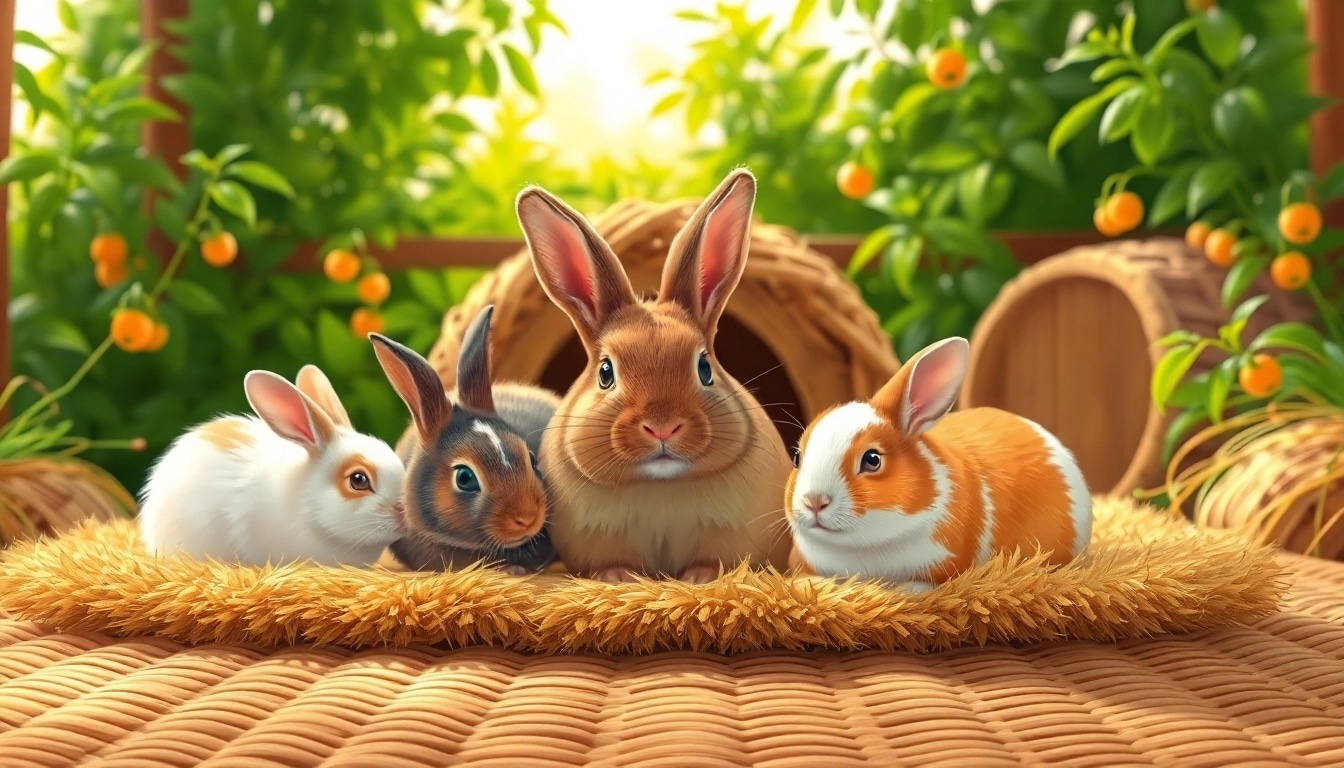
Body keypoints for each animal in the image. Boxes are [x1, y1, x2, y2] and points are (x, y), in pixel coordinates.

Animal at [513, 167, 794, 584]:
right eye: (606, 372)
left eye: (704, 368)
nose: (662, 427)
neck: (661, 483)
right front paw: (618, 578)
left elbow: (715, 561)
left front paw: (701, 578)